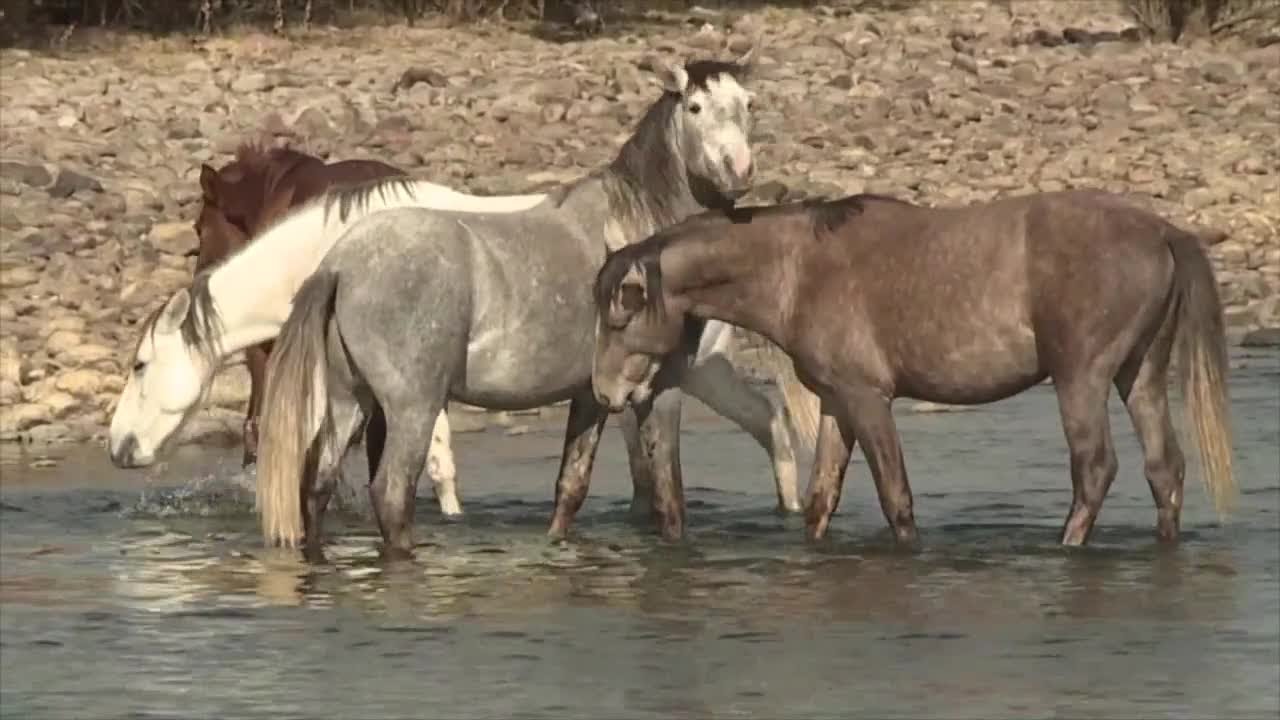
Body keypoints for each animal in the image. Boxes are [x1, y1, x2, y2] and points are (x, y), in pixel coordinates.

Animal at [254, 50, 812, 560]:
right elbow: (669, 496)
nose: (739, 169)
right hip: (411, 408)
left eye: (748, 104)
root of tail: (341, 262)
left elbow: (571, 487)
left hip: (350, 400)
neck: (642, 235)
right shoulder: (662, 389)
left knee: (317, 487)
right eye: (695, 107)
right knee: (391, 495)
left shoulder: (592, 397)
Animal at [590, 189, 1237, 547]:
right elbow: (821, 501)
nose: (605, 393)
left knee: (1095, 471)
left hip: (1081, 379)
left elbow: (895, 497)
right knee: (1164, 469)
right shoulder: (837, 403)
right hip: (1139, 376)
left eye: (621, 314)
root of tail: (1162, 230)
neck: (797, 270)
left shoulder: (869, 399)